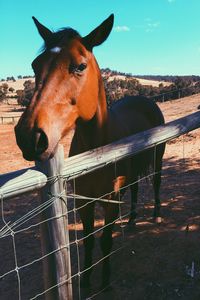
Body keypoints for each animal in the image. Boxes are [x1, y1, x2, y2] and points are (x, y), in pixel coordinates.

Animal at [15, 15, 166, 290]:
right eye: (35, 65)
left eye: (80, 66)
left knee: (157, 182)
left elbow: (105, 240)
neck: (97, 151)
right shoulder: (84, 201)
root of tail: (146, 100)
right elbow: (88, 240)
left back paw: (157, 215)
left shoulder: (110, 201)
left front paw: (104, 281)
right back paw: (131, 219)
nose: (30, 136)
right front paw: (85, 282)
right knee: (136, 188)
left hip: (158, 157)